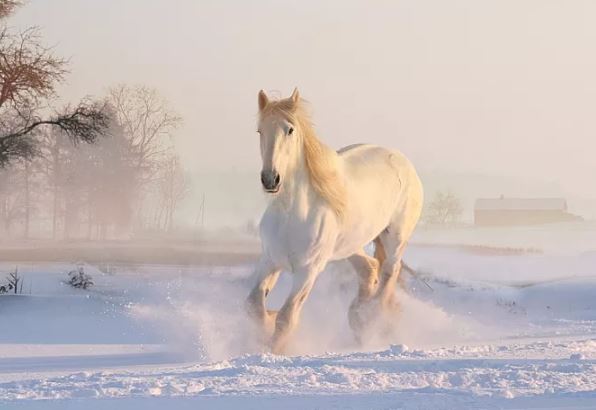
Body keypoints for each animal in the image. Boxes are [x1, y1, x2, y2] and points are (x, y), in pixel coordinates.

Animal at [247, 89, 424, 352]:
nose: (270, 179)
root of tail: (402, 160)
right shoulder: (270, 260)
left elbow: (287, 318)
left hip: (395, 237)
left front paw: (273, 350)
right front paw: (266, 326)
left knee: (389, 272)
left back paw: (372, 318)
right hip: (350, 245)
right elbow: (254, 306)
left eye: (290, 130)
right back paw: (358, 318)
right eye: (260, 130)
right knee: (369, 268)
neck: (292, 214)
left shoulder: (308, 270)